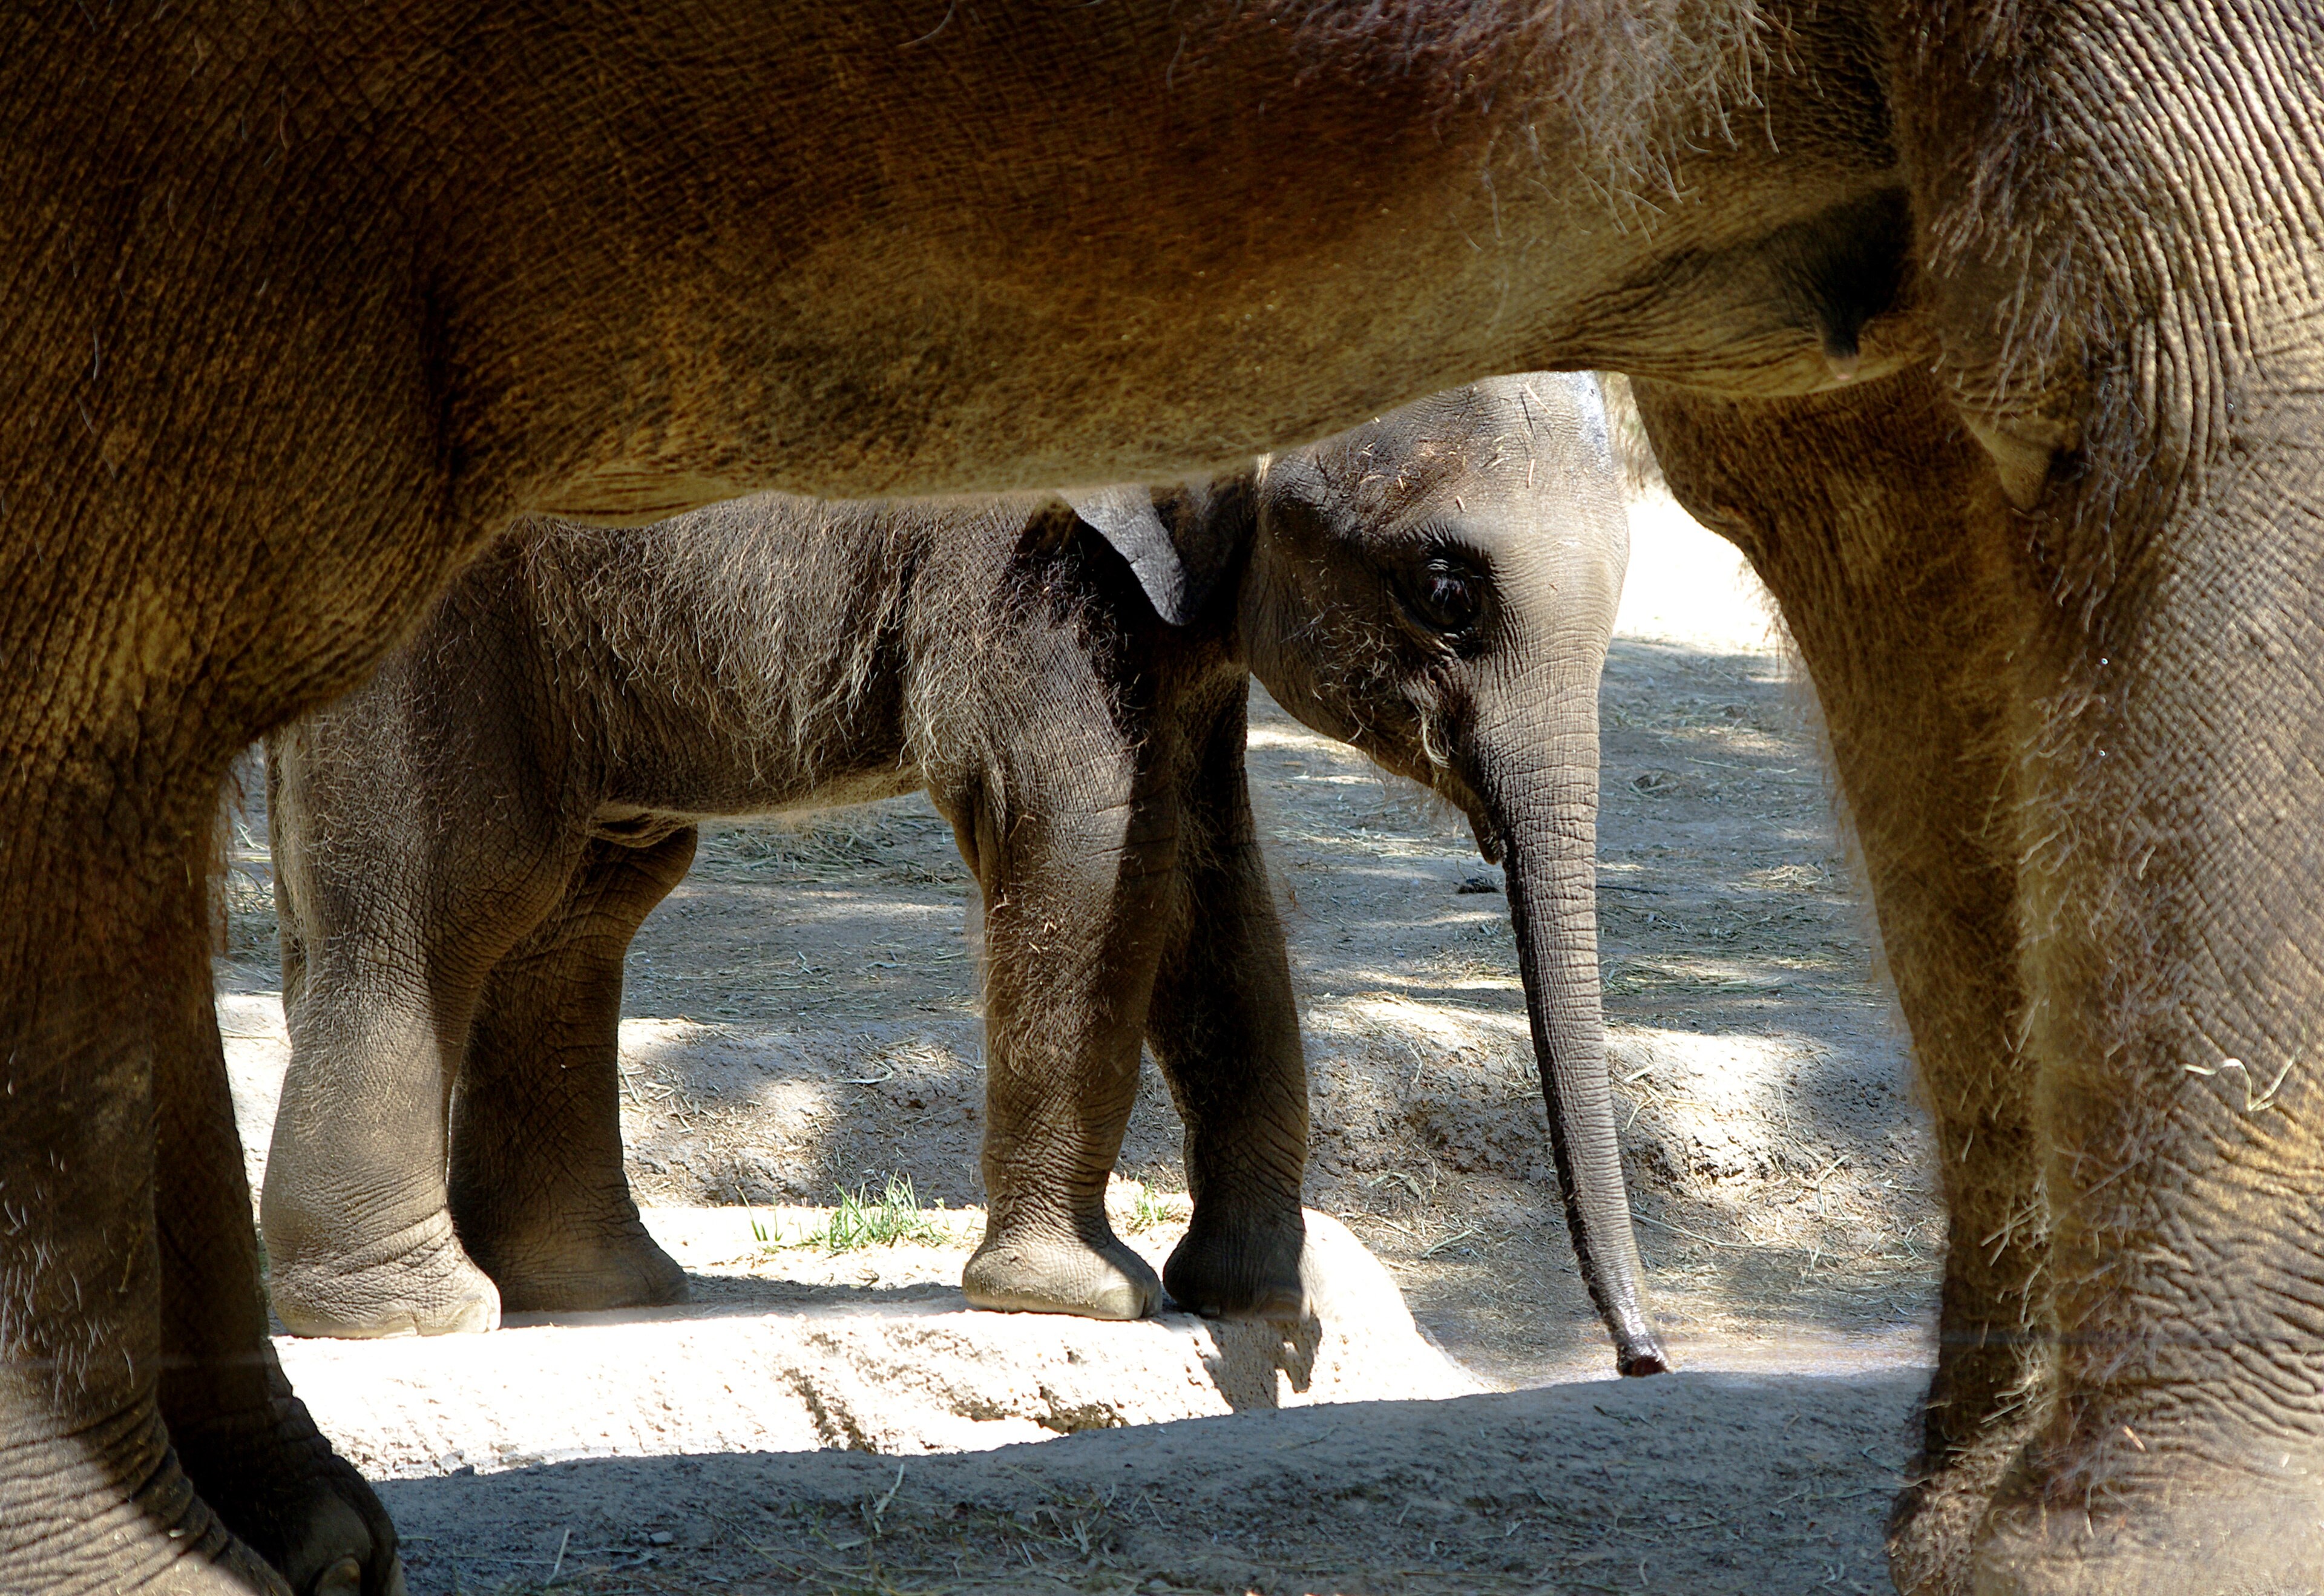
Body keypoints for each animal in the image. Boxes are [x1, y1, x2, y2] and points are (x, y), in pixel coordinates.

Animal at [263, 372, 1664, 1375]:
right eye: (1445, 591)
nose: (1643, 1359)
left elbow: (1214, 883)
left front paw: (1256, 1292)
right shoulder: (1029, 557)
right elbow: (1093, 850)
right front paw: (1084, 1300)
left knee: (585, 908)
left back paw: (594, 1294)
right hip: (430, 618)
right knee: (448, 903)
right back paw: (414, 1318)